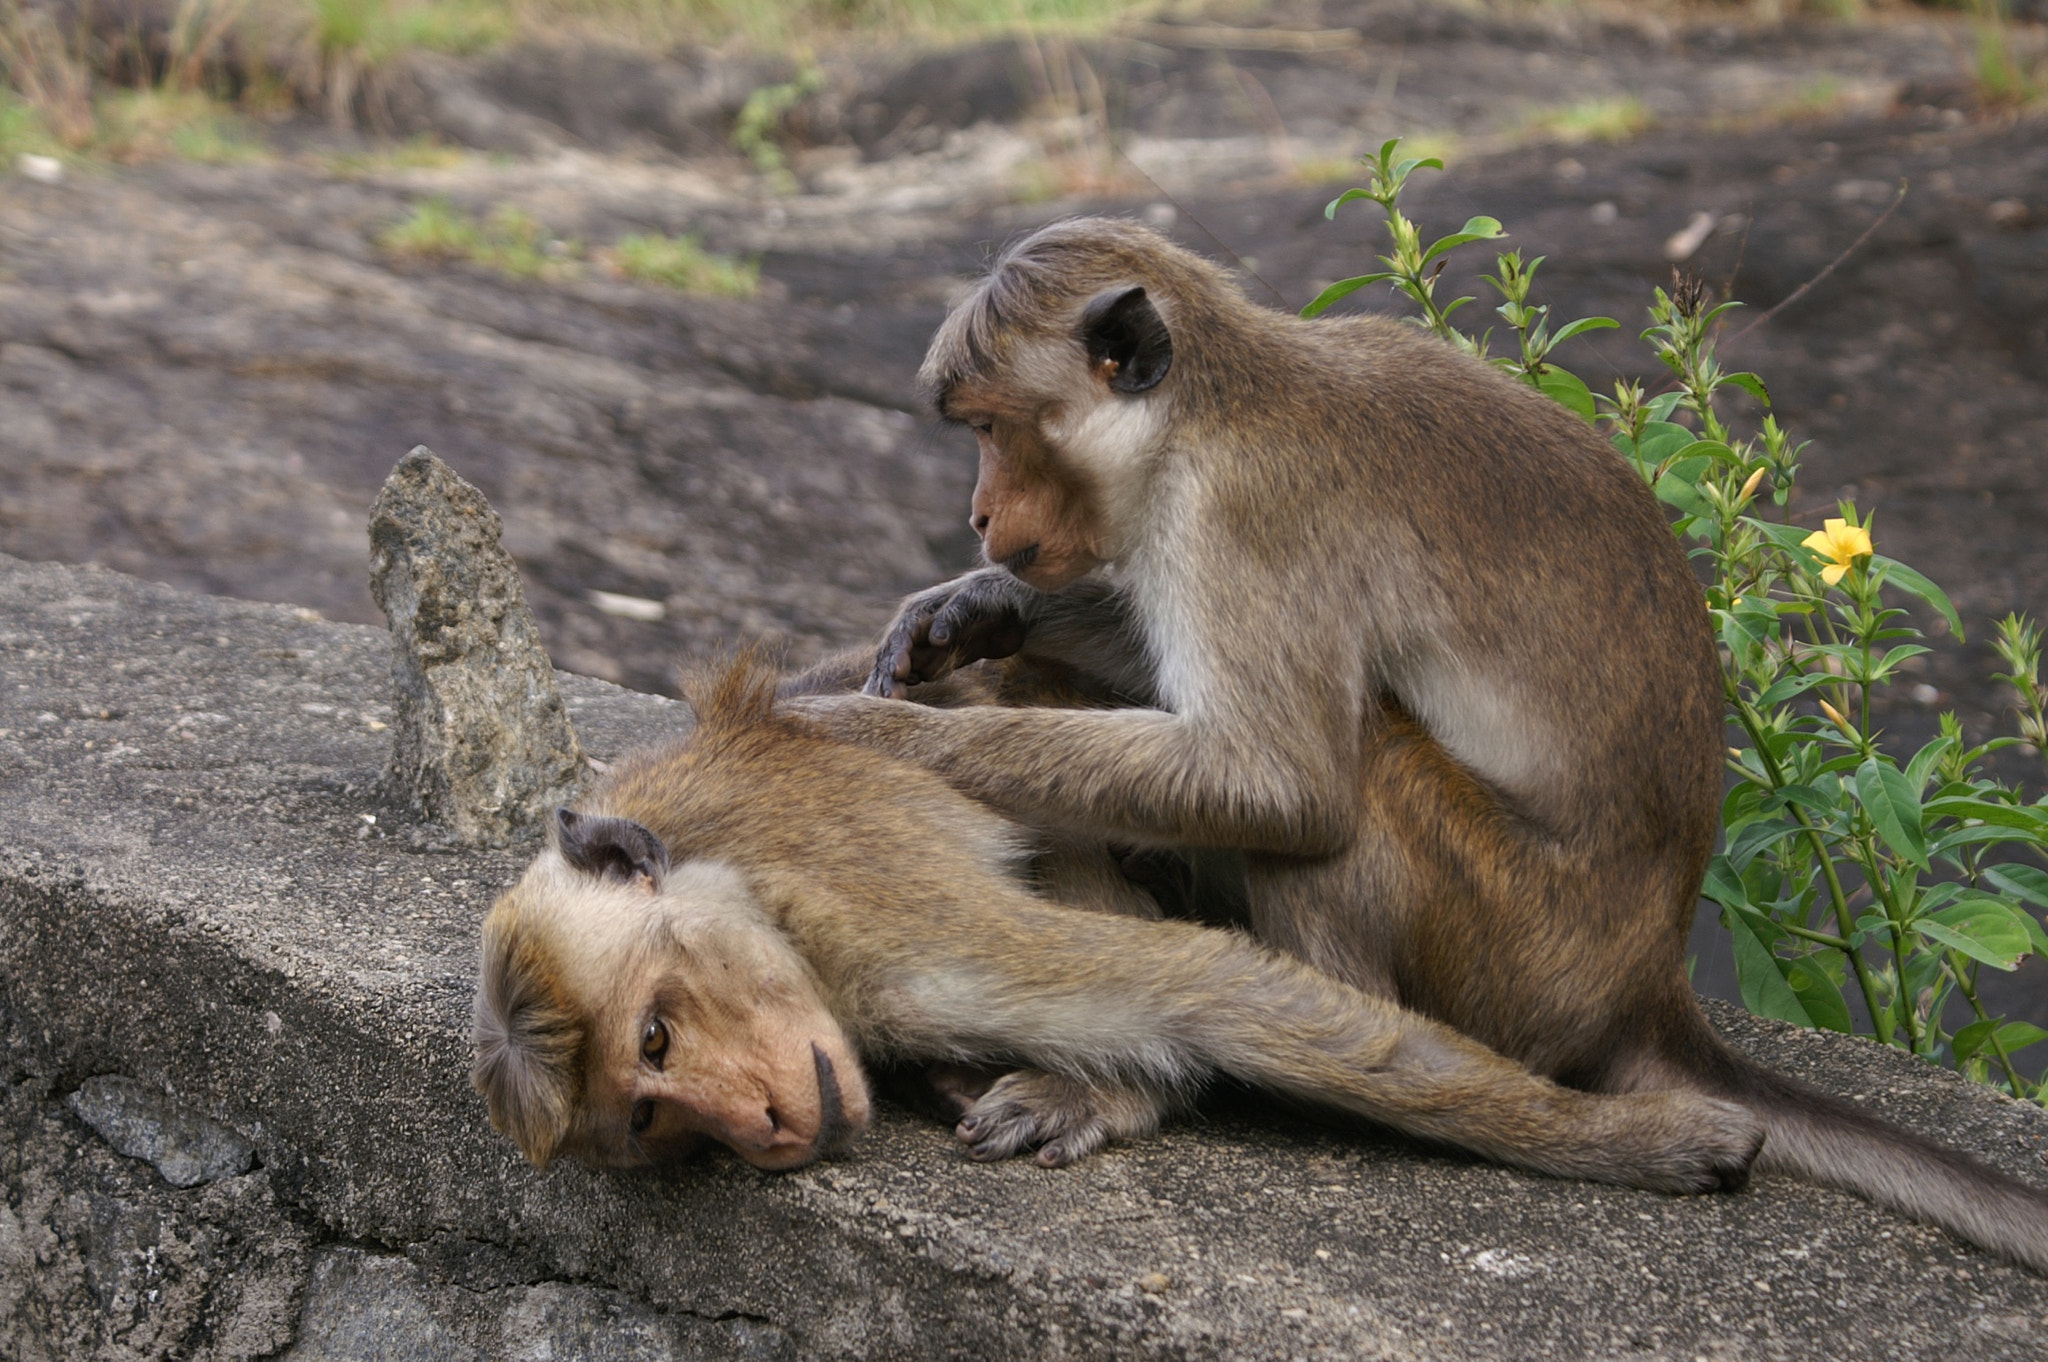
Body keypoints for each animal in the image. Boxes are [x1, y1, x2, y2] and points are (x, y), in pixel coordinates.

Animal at [475, 655, 1761, 1187]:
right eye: (651, 1117)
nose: (759, 1128)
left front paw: (1631, 1142)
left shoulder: (887, 929)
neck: (739, 880)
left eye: (654, 1037)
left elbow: (1197, 983)